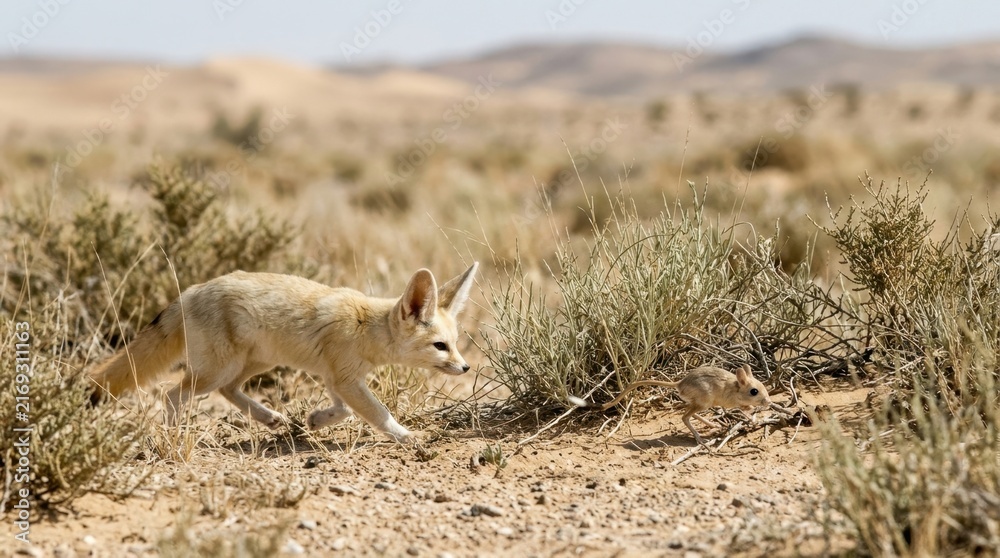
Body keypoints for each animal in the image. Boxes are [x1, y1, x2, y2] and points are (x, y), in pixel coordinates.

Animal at [89, 263, 479, 443]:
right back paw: (172, 435)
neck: (365, 326)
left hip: (254, 362)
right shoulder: (345, 379)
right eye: (440, 346)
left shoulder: (337, 379)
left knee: (227, 391)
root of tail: (191, 290)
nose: (465, 368)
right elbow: (378, 413)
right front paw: (407, 436)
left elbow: (343, 412)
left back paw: (270, 419)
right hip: (217, 369)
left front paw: (315, 420)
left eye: (456, 342)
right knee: (172, 394)